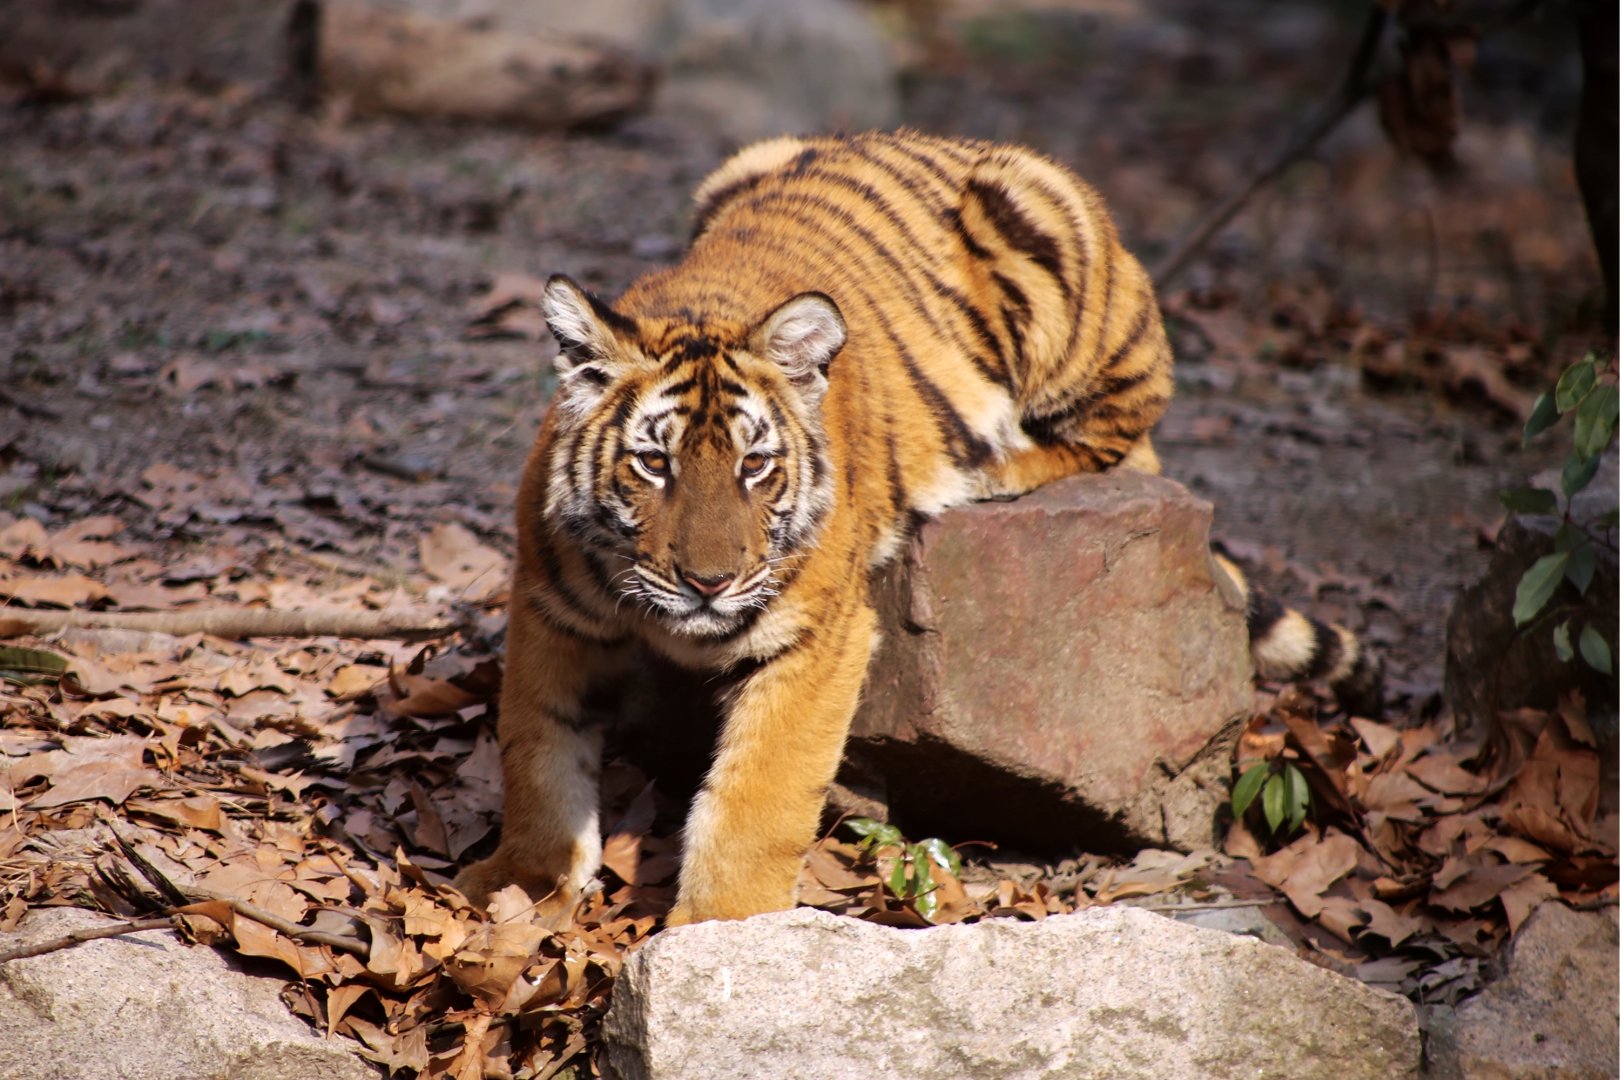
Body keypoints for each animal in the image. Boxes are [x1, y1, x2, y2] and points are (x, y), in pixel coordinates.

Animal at [453, 131, 1382, 925]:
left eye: (755, 466)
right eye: (654, 464)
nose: (709, 583)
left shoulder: (818, 639)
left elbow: (758, 794)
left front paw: (718, 929)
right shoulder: (550, 609)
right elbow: (537, 752)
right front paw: (520, 887)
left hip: (1046, 230)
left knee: (1122, 432)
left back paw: (1002, 463)